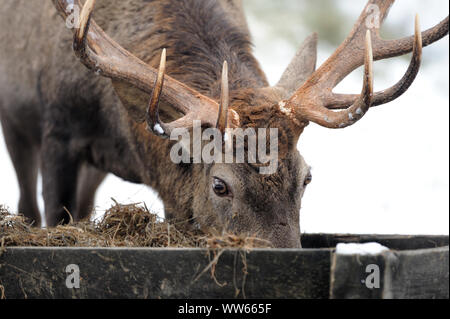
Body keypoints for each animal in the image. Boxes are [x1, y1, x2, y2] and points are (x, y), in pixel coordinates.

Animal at [0, 0, 448, 249]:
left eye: (307, 177)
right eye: (220, 184)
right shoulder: (58, 128)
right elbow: (55, 216)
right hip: (15, 123)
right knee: (27, 202)